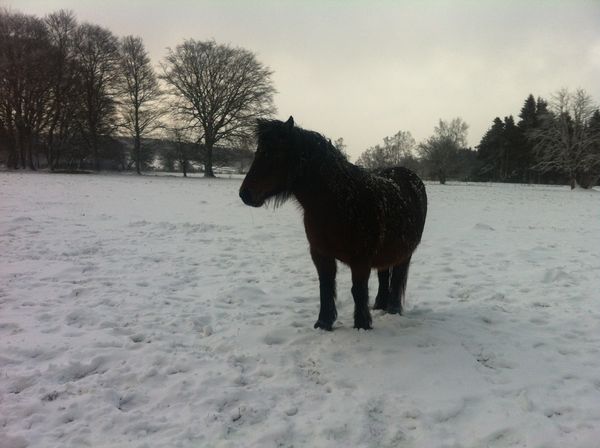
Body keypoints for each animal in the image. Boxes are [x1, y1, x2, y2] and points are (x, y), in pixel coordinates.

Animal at [239, 117, 426, 330]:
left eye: (273, 153)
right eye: (258, 152)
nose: (245, 194)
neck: (338, 203)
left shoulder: (361, 259)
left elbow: (358, 291)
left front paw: (362, 325)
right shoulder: (320, 254)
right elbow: (326, 287)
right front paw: (324, 322)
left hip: (404, 253)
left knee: (397, 278)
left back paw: (393, 309)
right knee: (384, 275)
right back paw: (380, 305)